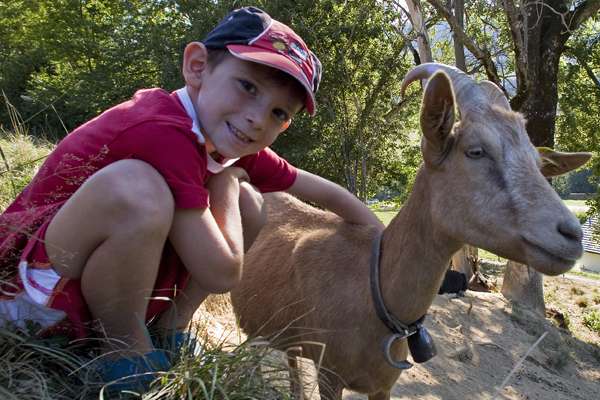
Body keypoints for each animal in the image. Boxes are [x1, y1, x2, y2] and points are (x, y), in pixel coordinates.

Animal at [230, 65, 592, 400]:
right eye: (475, 150)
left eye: (537, 162)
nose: (571, 235)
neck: (373, 289)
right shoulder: (329, 374)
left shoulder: (382, 385)